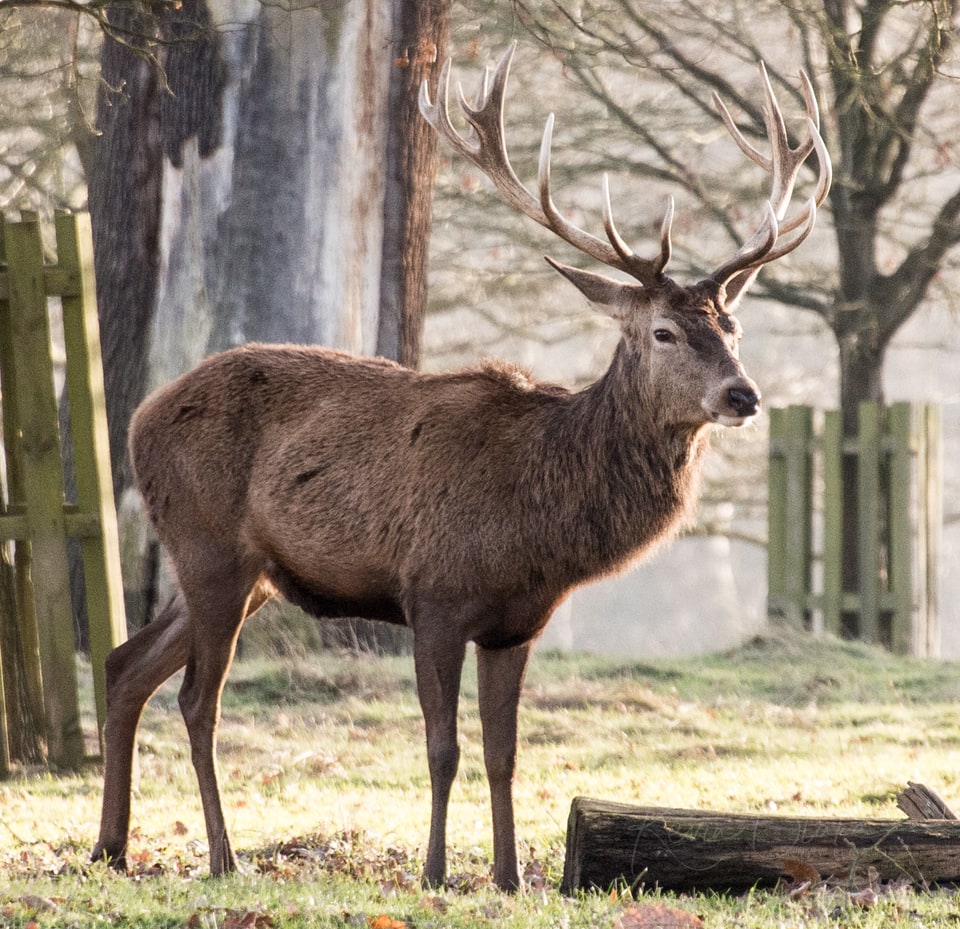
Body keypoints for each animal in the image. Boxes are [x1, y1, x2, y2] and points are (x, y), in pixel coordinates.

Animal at [92, 44, 831, 891]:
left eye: (732, 325)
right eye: (666, 332)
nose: (744, 393)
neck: (538, 521)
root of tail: (137, 421)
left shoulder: (516, 623)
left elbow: (505, 753)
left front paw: (508, 876)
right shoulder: (436, 594)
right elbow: (443, 747)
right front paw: (436, 871)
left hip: (241, 573)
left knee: (125, 664)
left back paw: (110, 845)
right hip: (211, 547)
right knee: (195, 700)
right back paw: (223, 857)